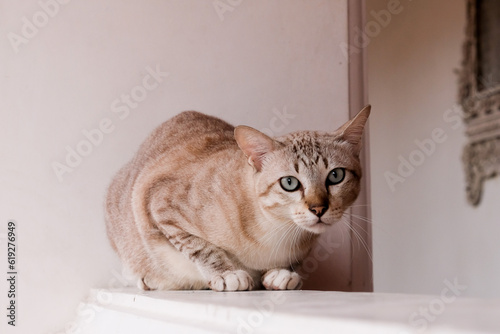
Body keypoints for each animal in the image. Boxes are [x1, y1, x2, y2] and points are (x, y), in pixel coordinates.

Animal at [106, 105, 372, 290]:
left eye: (336, 176)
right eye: (290, 183)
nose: (318, 209)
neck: (279, 230)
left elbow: (288, 264)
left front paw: (280, 274)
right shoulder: (159, 204)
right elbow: (202, 248)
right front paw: (227, 275)